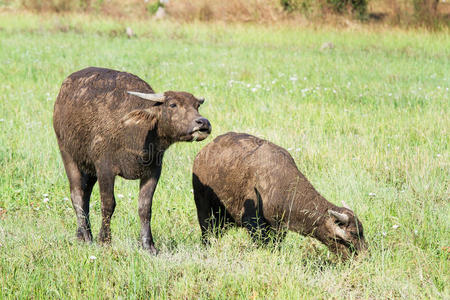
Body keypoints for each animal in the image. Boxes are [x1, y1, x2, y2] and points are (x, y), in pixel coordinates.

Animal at [53, 67, 212, 254]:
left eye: (196, 105)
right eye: (173, 104)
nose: (203, 123)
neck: (137, 131)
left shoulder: (153, 172)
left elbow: (145, 207)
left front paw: (149, 245)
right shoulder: (105, 168)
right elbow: (108, 204)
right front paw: (104, 240)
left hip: (89, 169)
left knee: (85, 195)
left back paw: (82, 235)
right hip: (68, 155)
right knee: (77, 194)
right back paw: (86, 236)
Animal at [192, 132, 366, 258]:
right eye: (351, 234)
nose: (362, 257)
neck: (281, 183)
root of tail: (201, 154)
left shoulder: (279, 227)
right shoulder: (254, 223)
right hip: (204, 210)